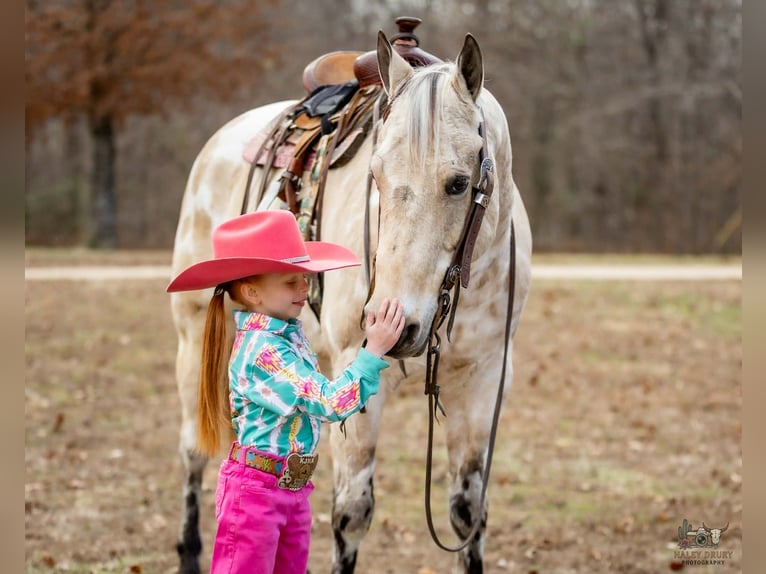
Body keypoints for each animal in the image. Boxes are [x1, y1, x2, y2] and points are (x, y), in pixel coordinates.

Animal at [169, 30, 532, 574]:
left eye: (459, 183)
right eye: (376, 177)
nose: (398, 325)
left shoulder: (486, 379)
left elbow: (468, 513)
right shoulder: (358, 380)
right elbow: (352, 513)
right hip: (194, 339)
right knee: (194, 449)